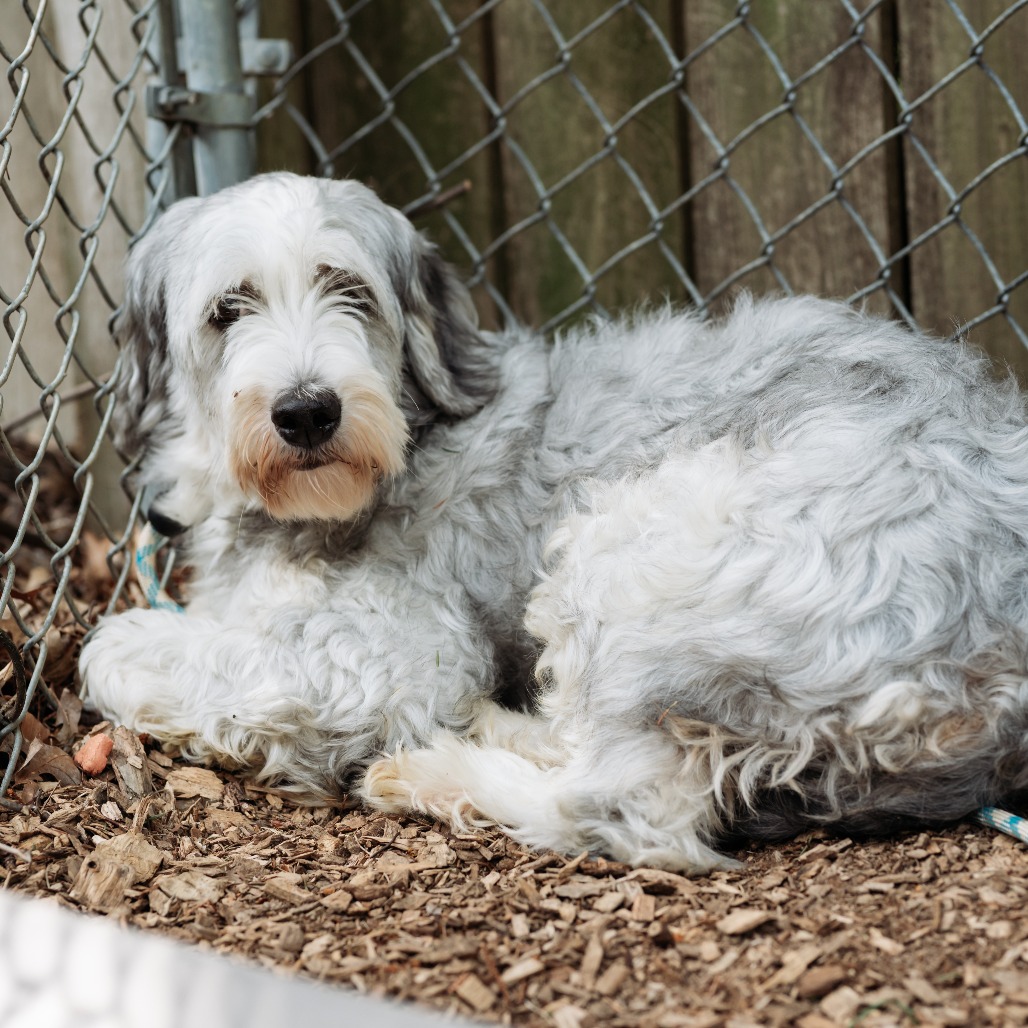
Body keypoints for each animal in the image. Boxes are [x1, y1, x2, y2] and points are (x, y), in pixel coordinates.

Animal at [79, 172, 1028, 872]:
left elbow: (113, 651)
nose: (307, 411)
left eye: (349, 291)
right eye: (227, 309)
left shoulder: (397, 652)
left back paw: (437, 769)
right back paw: (499, 725)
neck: (405, 445)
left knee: (627, 812)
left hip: (644, 551)